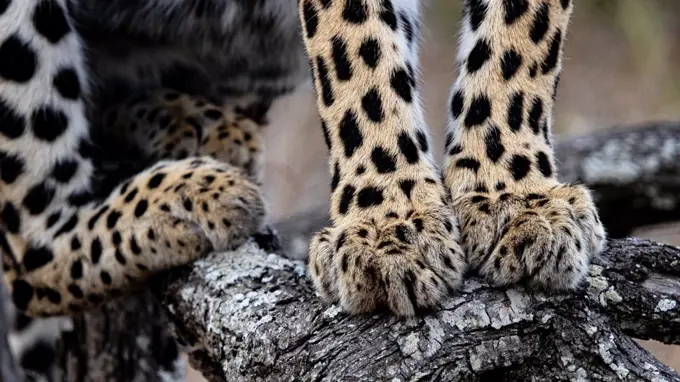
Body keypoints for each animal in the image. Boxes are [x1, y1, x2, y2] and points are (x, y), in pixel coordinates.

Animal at [0, 0, 604, 380]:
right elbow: (357, 49)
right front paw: (387, 230)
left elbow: (521, 38)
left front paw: (513, 200)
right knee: (30, 256)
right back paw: (192, 194)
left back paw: (193, 125)